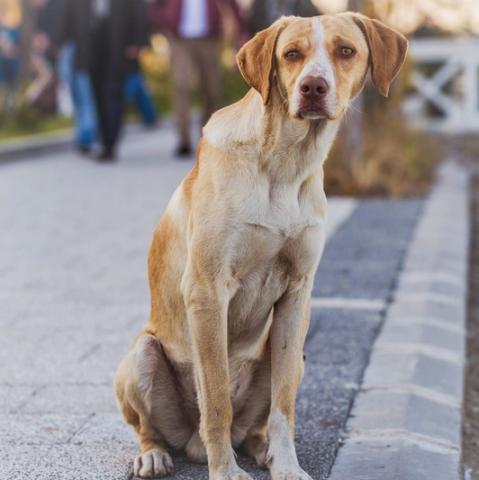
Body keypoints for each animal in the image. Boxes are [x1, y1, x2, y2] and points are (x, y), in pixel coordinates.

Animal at [114, 13, 406, 480]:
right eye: (292, 54)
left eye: (345, 51)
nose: (313, 87)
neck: (285, 164)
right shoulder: (207, 292)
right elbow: (216, 401)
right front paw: (226, 471)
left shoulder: (297, 294)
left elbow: (283, 407)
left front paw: (286, 465)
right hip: (142, 355)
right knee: (151, 427)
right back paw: (155, 454)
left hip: (298, 354)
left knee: (255, 423)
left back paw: (261, 448)